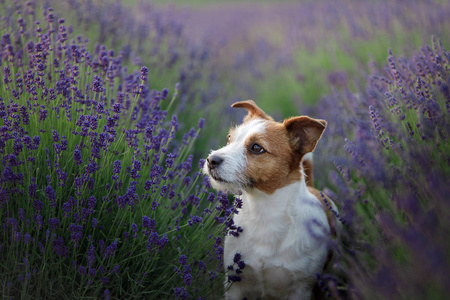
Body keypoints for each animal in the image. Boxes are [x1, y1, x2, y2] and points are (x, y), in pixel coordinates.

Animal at [203, 101, 338, 300]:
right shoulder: (234, 283)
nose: (211, 160)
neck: (262, 211)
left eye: (257, 147)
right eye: (229, 139)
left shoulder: (301, 289)